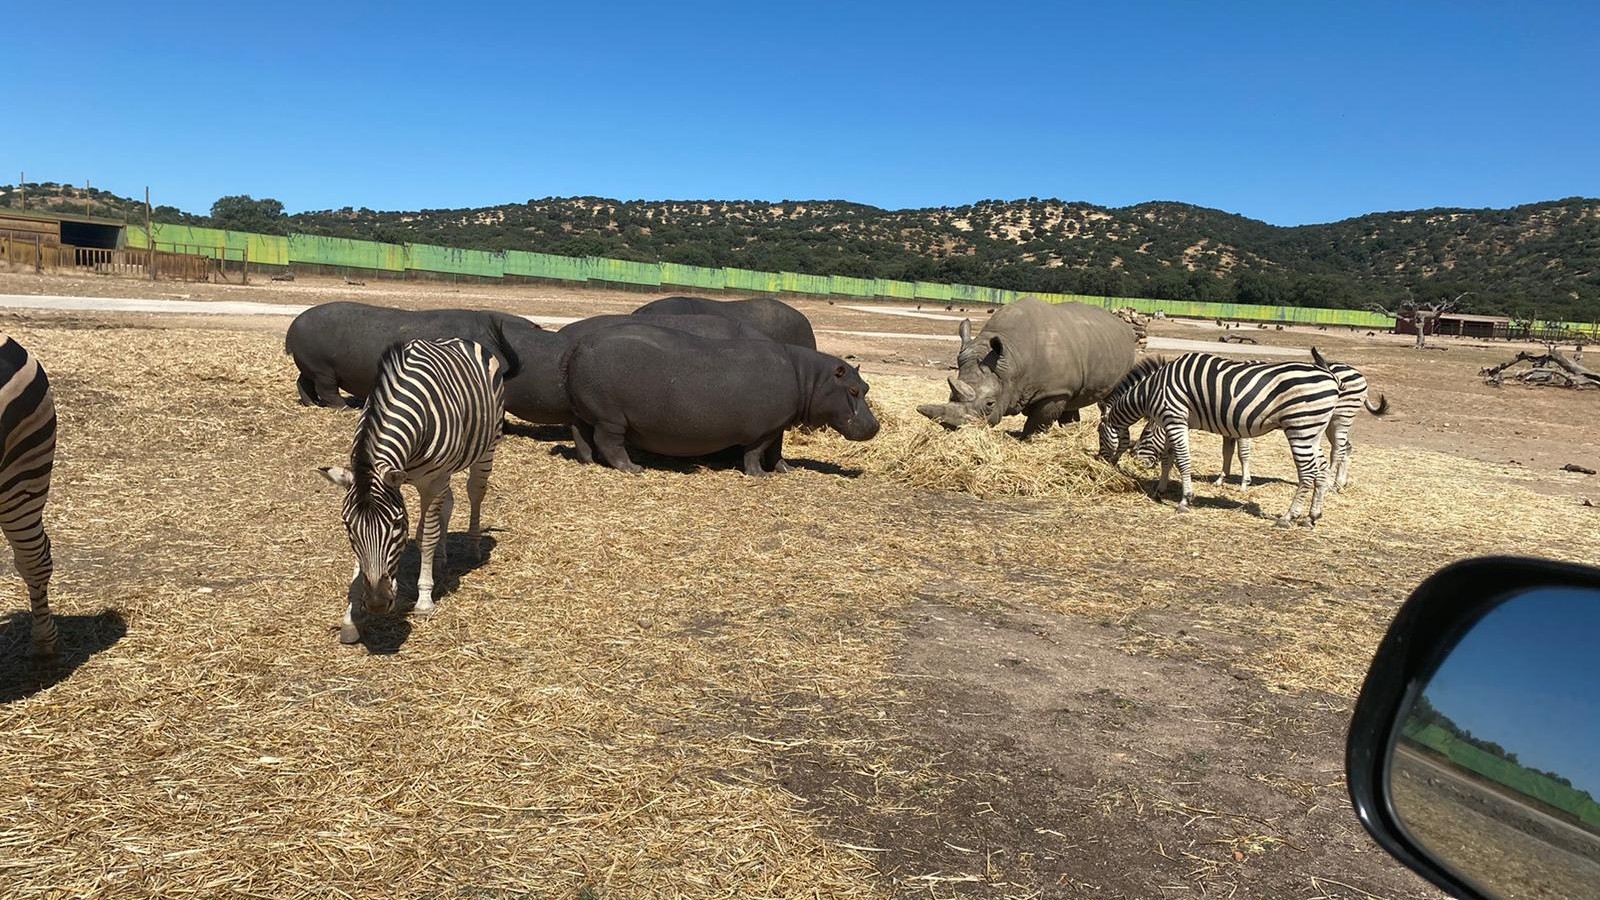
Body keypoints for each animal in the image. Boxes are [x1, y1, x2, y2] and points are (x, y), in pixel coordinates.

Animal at [312, 325, 512, 640]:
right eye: (347, 526)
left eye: (396, 525)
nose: (377, 603)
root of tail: (463, 339)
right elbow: (364, 559)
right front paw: (352, 613)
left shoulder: (432, 480)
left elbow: (427, 535)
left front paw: (424, 599)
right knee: (448, 503)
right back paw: (441, 558)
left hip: (486, 449)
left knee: (474, 494)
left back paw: (473, 548)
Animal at [1094, 347, 1344, 522]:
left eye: (1097, 431)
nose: (1101, 461)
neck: (1152, 389)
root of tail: (1329, 374)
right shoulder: (1179, 422)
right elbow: (1169, 458)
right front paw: (1160, 490)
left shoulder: (1174, 417)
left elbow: (1182, 460)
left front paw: (1185, 500)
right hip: (1314, 431)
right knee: (1321, 470)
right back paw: (1312, 516)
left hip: (1300, 428)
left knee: (1308, 473)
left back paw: (1289, 516)